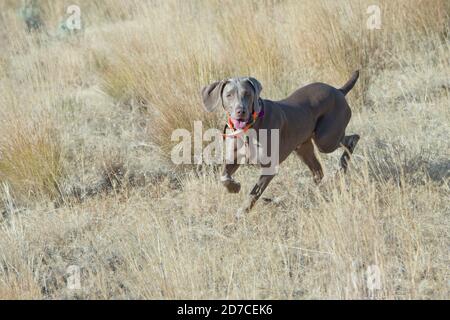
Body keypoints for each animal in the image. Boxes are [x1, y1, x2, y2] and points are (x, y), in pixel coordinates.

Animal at [202, 71, 360, 216]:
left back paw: (341, 168)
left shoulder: (270, 167)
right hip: (303, 148)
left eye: (247, 94)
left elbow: (255, 191)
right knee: (318, 171)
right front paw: (234, 187)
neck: (250, 127)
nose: (241, 111)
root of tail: (339, 91)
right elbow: (224, 177)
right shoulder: (234, 158)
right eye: (229, 95)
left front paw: (243, 211)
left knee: (352, 139)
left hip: (325, 140)